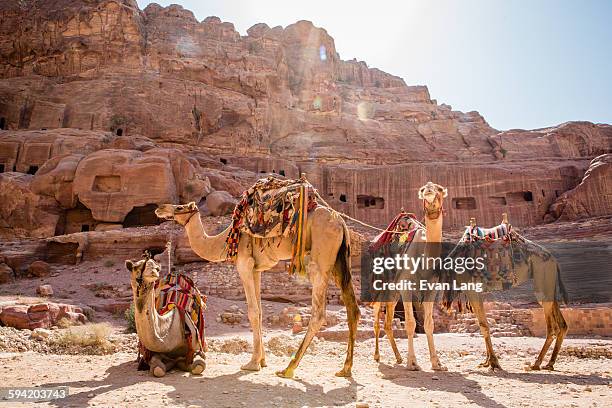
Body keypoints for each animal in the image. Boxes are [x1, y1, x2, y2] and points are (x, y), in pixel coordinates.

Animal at [155, 198, 360, 376]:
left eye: (180, 207)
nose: (159, 208)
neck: (224, 240)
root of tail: (340, 222)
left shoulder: (244, 263)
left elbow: (252, 312)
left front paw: (252, 363)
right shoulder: (257, 269)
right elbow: (260, 312)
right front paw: (262, 361)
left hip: (321, 258)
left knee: (318, 313)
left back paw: (288, 369)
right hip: (339, 261)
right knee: (353, 308)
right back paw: (345, 369)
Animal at [368, 181, 450, 370]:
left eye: (439, 189)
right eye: (423, 189)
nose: (428, 189)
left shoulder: (431, 289)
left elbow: (429, 324)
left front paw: (436, 363)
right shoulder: (406, 286)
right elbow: (411, 323)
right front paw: (412, 362)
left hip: (392, 292)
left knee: (388, 323)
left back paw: (398, 357)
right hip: (379, 287)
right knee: (376, 321)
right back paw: (377, 356)